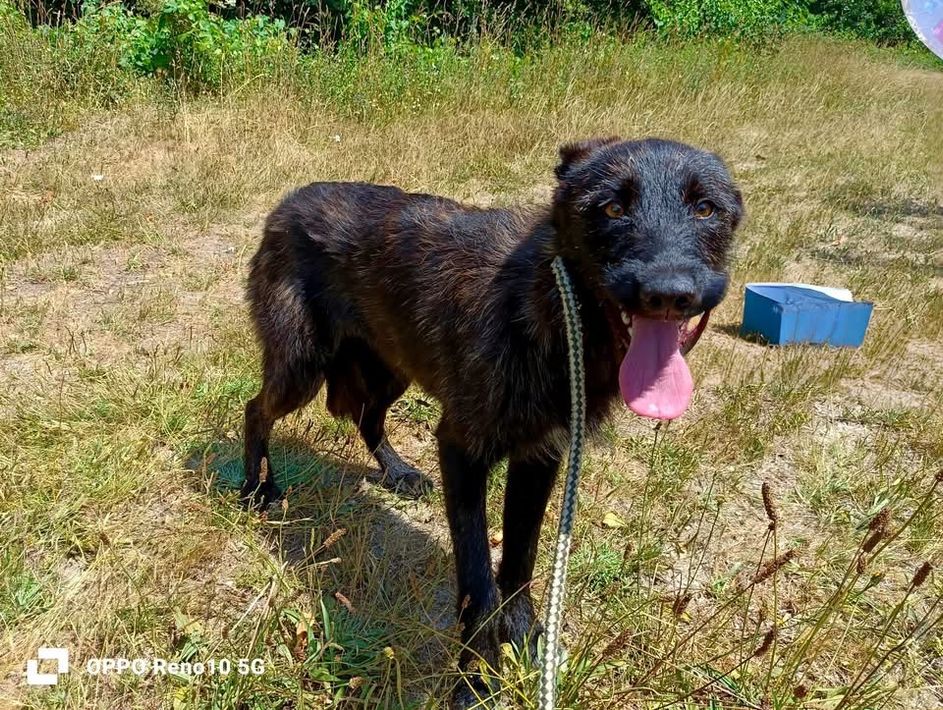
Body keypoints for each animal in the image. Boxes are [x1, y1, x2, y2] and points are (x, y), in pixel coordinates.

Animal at [242, 137, 743, 707]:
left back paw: (396, 471)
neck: (545, 310)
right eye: (613, 208)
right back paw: (255, 487)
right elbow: (478, 580)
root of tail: (287, 203)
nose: (668, 293)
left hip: (393, 369)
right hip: (302, 368)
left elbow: (520, 561)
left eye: (705, 209)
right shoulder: (462, 450)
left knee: (368, 419)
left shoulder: (540, 458)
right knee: (256, 409)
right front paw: (476, 679)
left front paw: (526, 644)